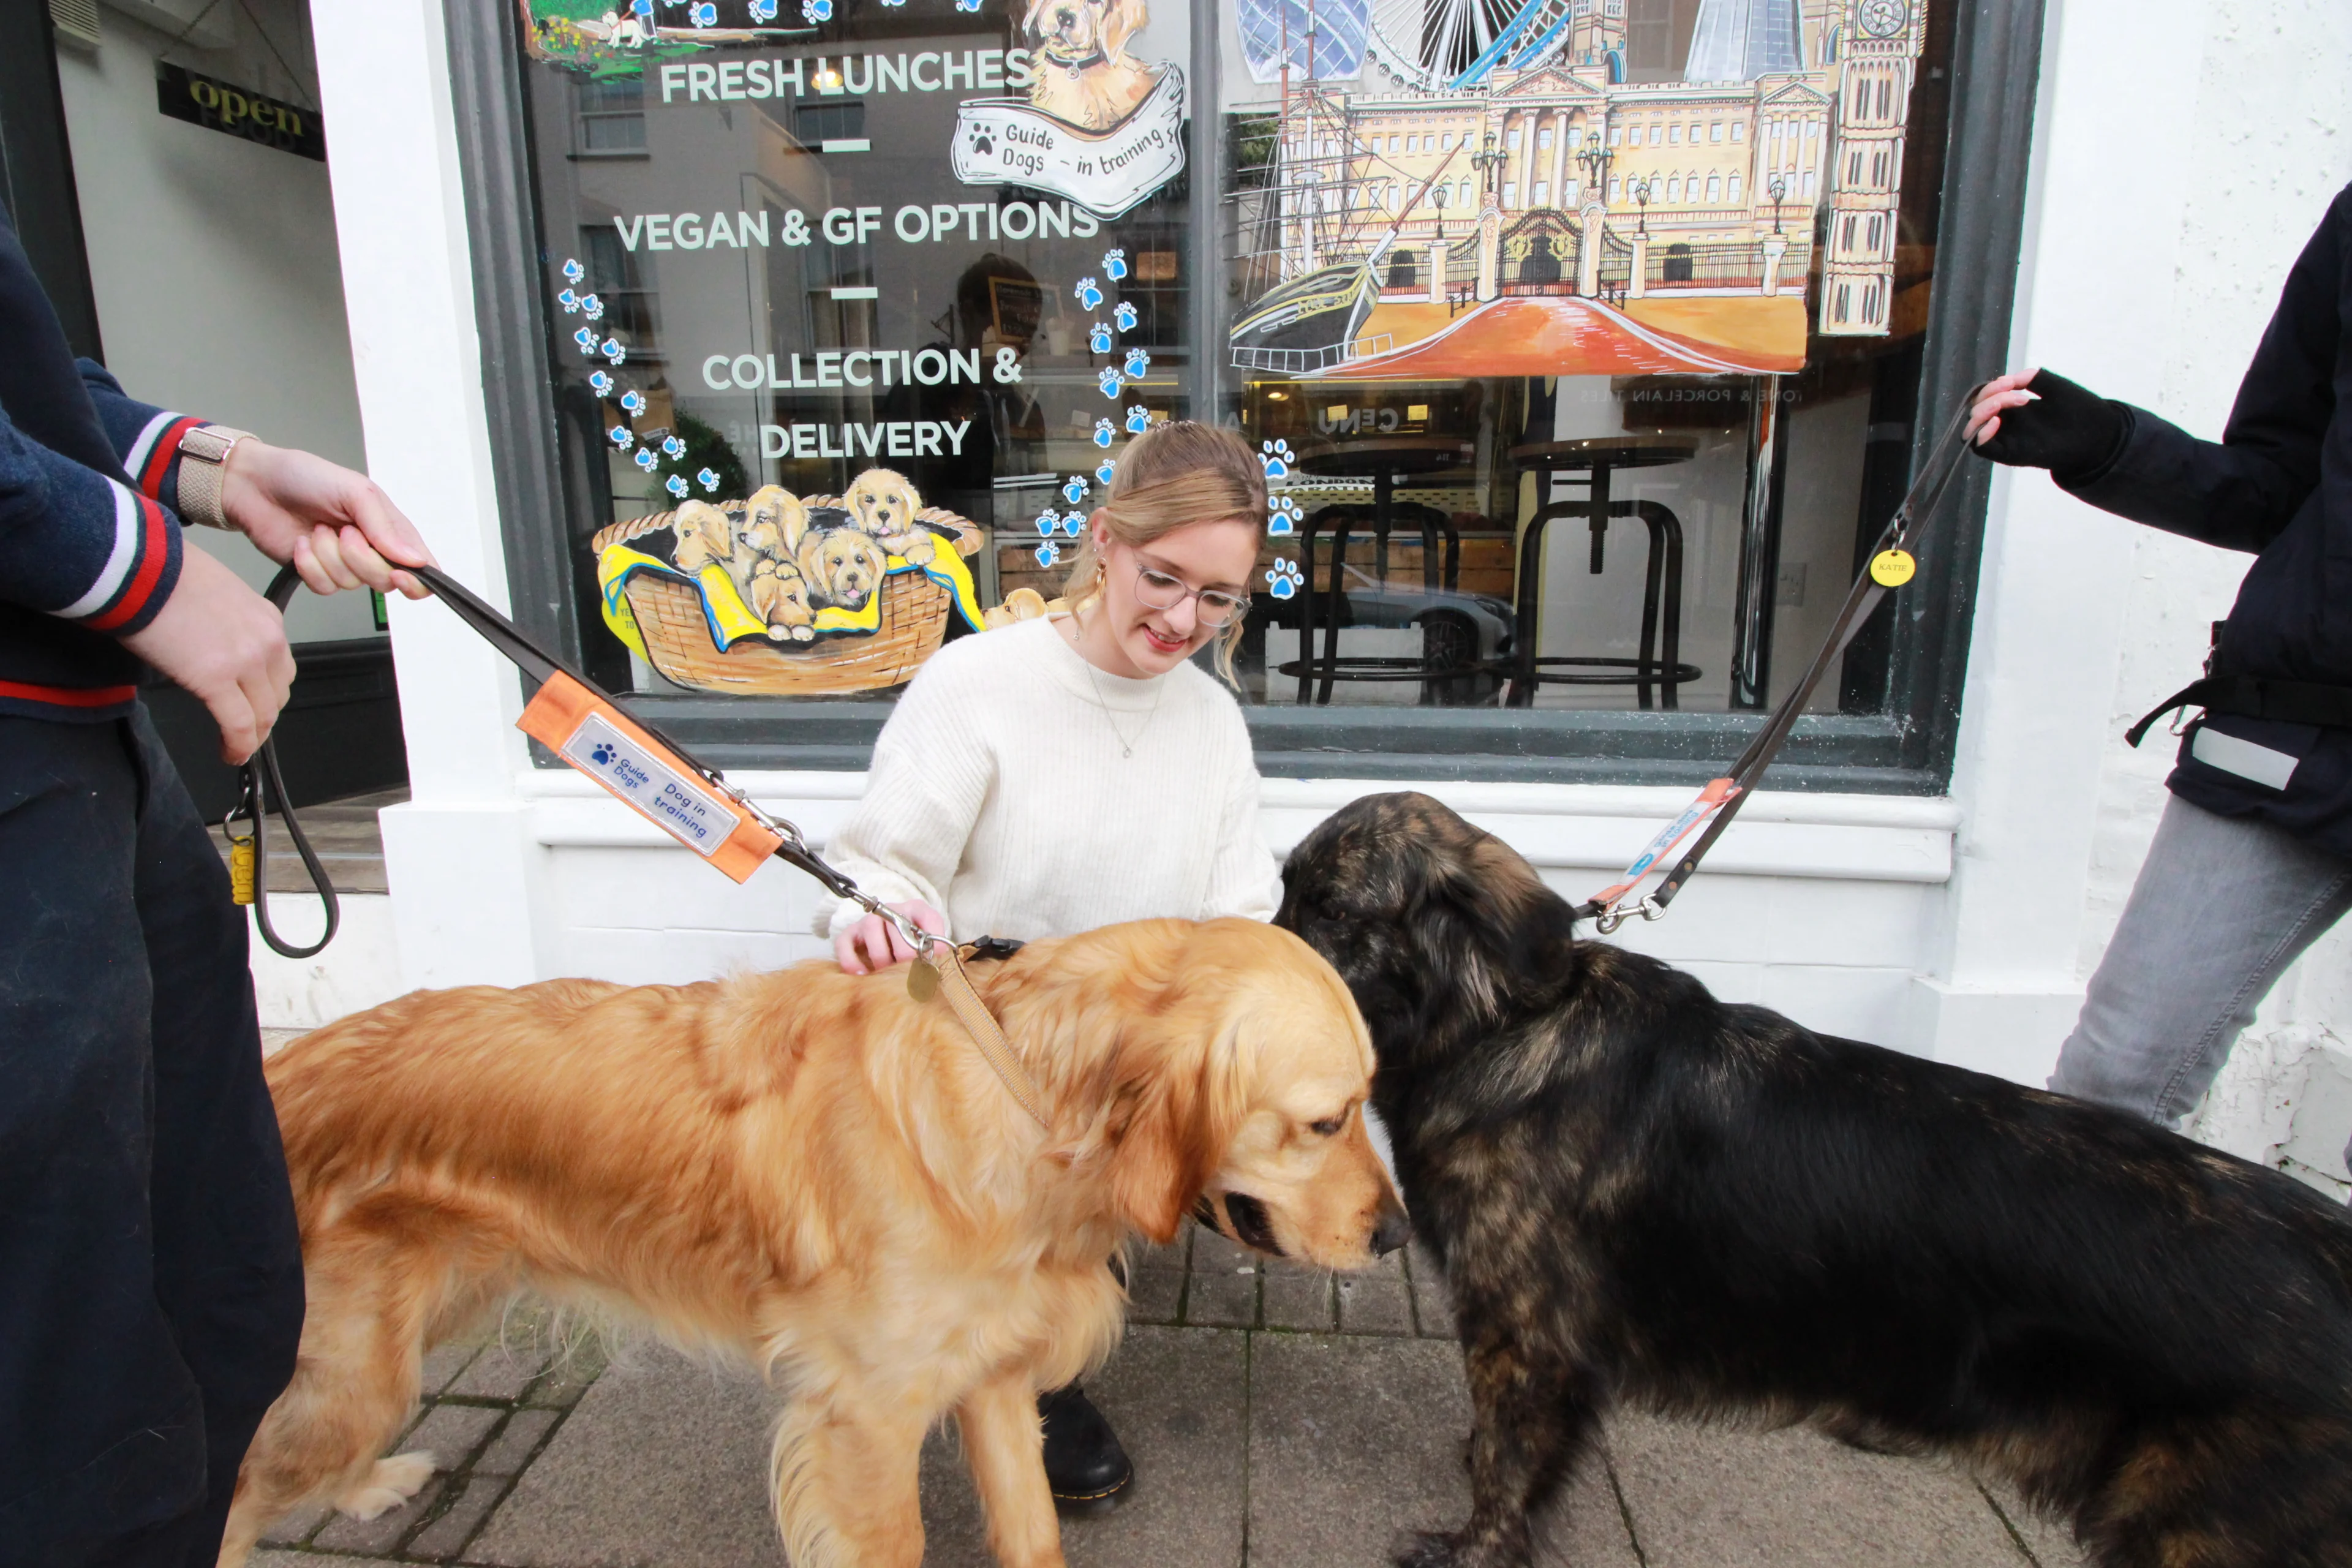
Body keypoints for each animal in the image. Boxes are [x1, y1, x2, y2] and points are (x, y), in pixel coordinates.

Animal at [221, 921, 1401, 1568]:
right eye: (1326, 1121)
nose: (1396, 1236)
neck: (1017, 1091)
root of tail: (276, 1075)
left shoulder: (990, 1374)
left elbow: (1033, 1532)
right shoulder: (864, 1417)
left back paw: (368, 1489)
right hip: (352, 1373)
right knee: (236, 1490)